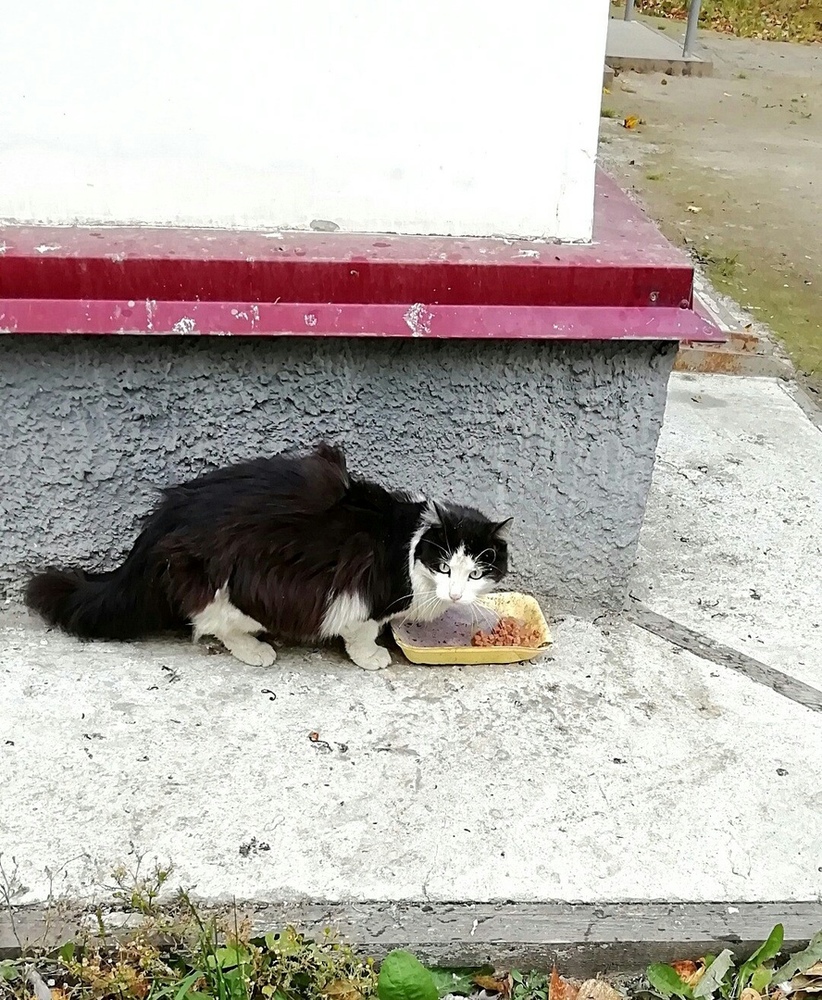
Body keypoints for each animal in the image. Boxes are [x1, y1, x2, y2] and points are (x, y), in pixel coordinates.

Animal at [25, 442, 512, 668]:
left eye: (476, 573)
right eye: (445, 567)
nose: (455, 596)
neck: (411, 543)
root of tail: (170, 510)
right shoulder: (363, 598)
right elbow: (361, 632)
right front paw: (371, 656)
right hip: (229, 584)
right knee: (213, 623)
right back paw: (256, 650)